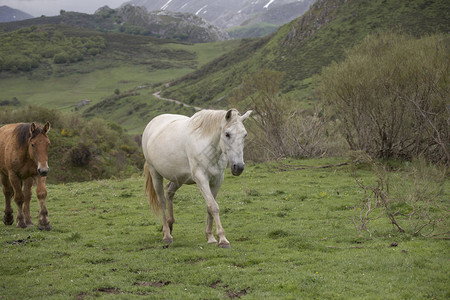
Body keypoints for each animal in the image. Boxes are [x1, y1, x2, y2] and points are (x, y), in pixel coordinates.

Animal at [142, 109, 251, 247]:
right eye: (227, 134)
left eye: (245, 135)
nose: (239, 167)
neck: (208, 146)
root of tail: (152, 123)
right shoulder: (201, 179)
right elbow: (213, 206)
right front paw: (222, 239)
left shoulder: (217, 181)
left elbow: (209, 207)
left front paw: (210, 237)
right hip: (155, 173)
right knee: (162, 201)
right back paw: (167, 235)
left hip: (178, 177)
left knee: (169, 192)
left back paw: (170, 225)